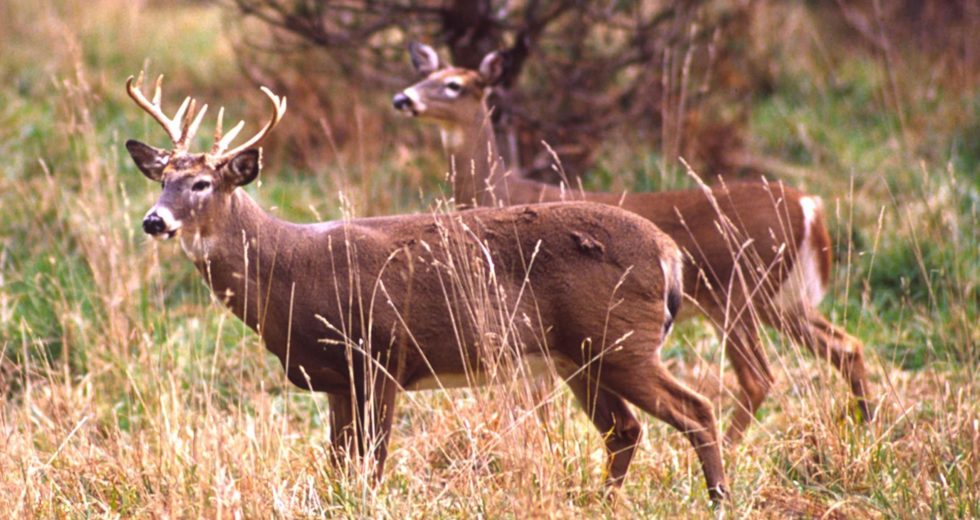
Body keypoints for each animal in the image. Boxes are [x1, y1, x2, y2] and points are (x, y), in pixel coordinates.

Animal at [123, 72, 730, 502]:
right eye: (163, 178)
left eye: (203, 183)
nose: (154, 220)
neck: (288, 272)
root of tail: (669, 253)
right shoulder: (338, 377)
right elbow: (340, 463)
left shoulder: (383, 354)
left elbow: (372, 463)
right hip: (579, 355)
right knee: (624, 429)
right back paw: (601, 502)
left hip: (621, 340)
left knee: (697, 409)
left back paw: (718, 498)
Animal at [393, 42, 873, 445]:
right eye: (425, 74)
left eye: (454, 85)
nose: (403, 99)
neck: (499, 190)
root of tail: (809, 206)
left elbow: (534, 398)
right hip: (780, 298)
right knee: (846, 347)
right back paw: (864, 425)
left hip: (737, 291)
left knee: (758, 376)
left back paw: (733, 448)